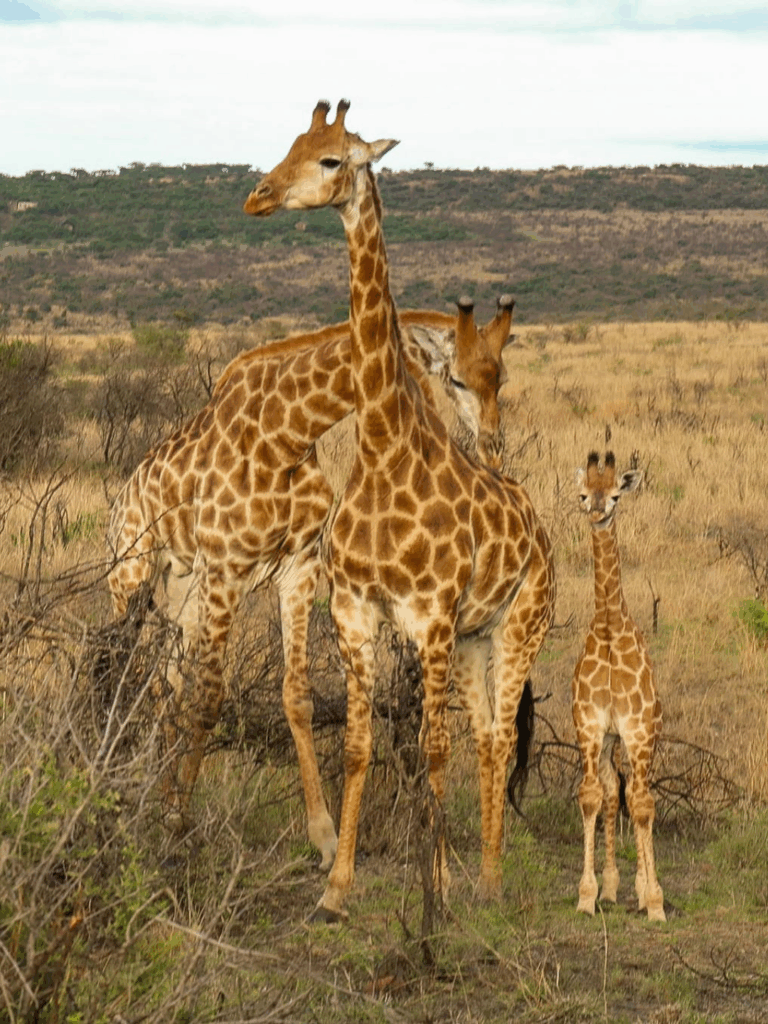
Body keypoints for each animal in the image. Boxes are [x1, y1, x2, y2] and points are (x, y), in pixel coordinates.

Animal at [106, 301, 511, 871]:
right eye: (455, 377)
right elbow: (209, 698)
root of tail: (123, 494)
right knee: (126, 671)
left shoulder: (297, 567)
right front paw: (178, 821)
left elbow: (295, 695)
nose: (493, 448)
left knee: (165, 684)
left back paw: (148, 788)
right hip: (130, 574)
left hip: (182, 589)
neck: (288, 430)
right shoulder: (228, 566)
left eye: (500, 377)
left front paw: (324, 836)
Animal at [243, 100, 555, 919]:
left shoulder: (432, 618)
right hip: (476, 638)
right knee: (486, 735)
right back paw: (483, 876)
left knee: (495, 738)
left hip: (519, 624)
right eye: (292, 143)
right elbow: (361, 746)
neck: (383, 450)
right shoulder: (357, 611)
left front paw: (434, 888)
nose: (258, 196)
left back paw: (490, 879)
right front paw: (336, 888)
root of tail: (541, 527)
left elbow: (429, 747)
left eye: (333, 160)